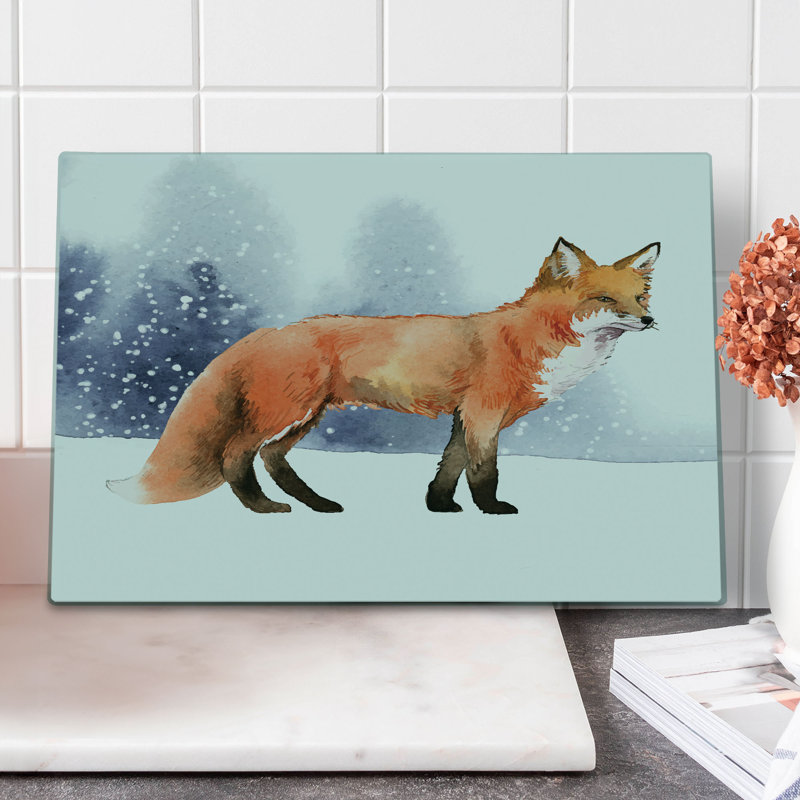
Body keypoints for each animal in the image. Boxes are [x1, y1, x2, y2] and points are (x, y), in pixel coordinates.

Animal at [107, 237, 658, 515]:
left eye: (639, 298)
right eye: (604, 299)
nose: (651, 321)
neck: (532, 339)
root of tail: (270, 330)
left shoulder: (463, 417)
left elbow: (449, 466)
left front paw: (439, 508)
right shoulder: (483, 413)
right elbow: (483, 472)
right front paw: (492, 510)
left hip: (304, 417)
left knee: (272, 458)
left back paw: (318, 504)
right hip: (286, 412)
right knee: (235, 457)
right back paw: (263, 508)